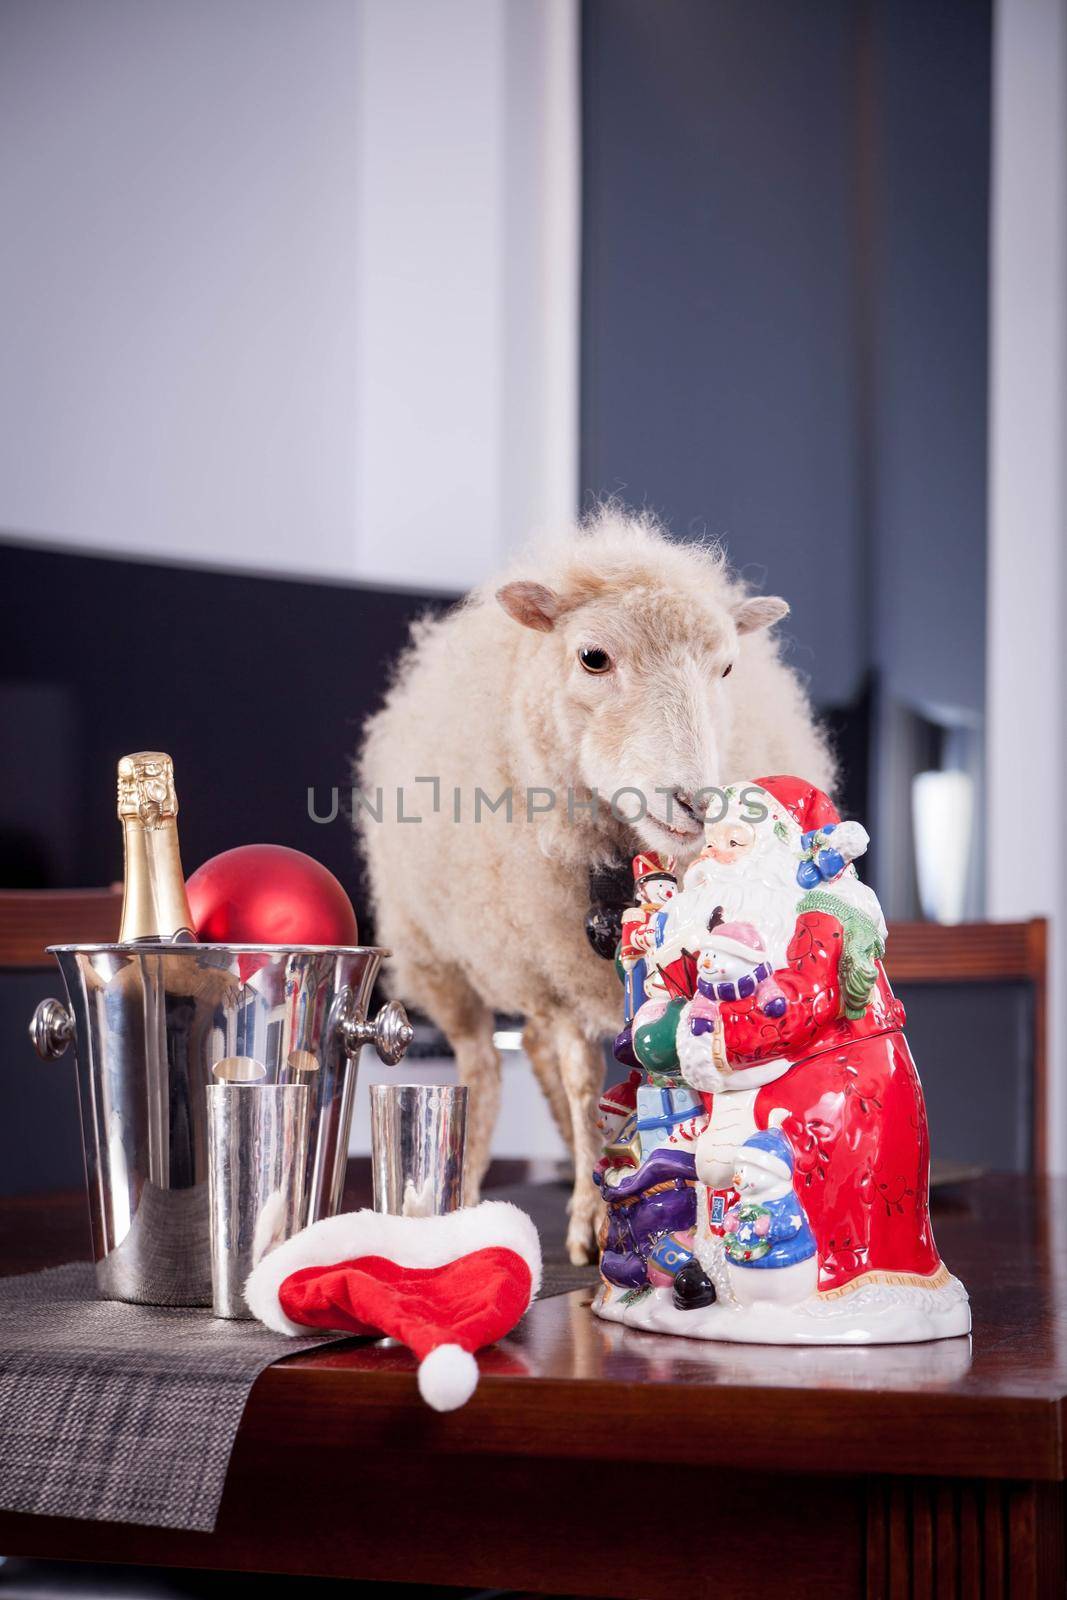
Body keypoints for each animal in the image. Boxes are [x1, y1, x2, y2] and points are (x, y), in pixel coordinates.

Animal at [358, 508, 831, 1260]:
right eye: (591, 657)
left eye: (726, 666)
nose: (696, 803)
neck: (614, 855)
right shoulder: (549, 960)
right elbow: (583, 1083)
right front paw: (591, 1217)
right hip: (440, 959)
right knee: (484, 1068)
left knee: (531, 1055)